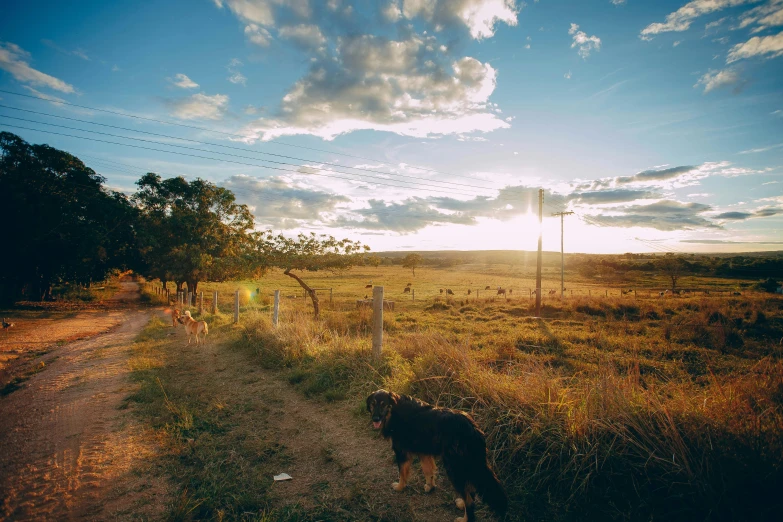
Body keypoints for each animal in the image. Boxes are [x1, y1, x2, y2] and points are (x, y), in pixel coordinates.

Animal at [366, 388, 508, 516]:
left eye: (383, 404)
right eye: (373, 404)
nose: (375, 419)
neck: (395, 410)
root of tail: (473, 428)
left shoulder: (402, 451)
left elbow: (402, 473)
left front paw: (400, 487)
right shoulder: (424, 452)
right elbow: (428, 471)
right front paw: (430, 487)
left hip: (454, 467)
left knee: (469, 499)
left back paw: (463, 517)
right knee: (470, 491)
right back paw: (462, 504)